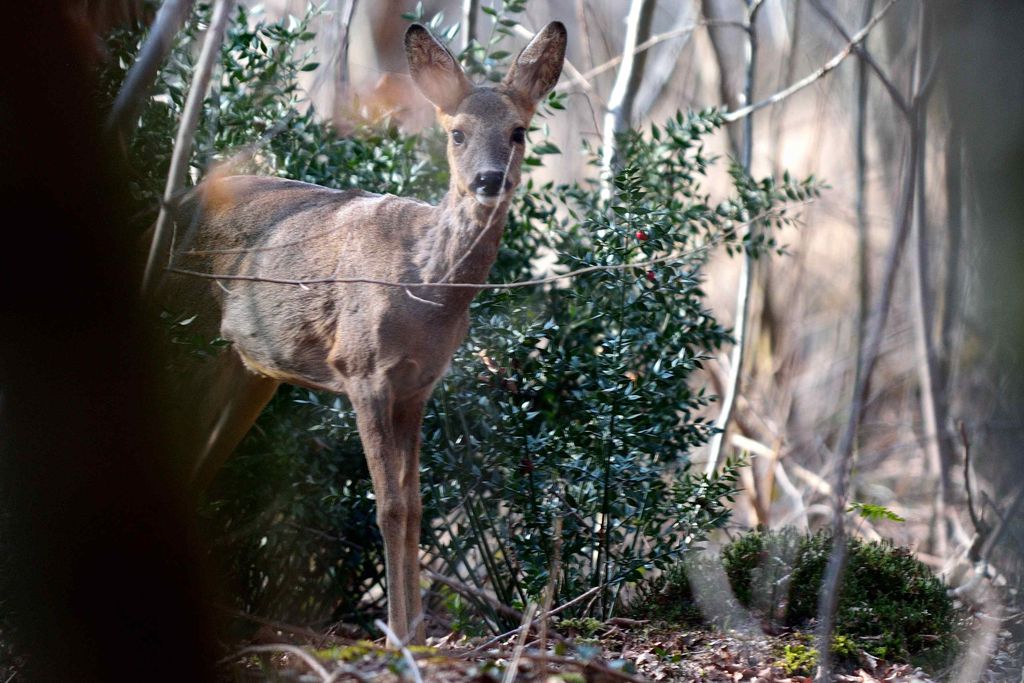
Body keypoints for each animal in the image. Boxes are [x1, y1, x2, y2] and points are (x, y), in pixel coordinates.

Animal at [155, 20, 565, 643]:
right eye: (457, 133)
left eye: (518, 131)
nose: (489, 180)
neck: (425, 287)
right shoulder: (361, 368)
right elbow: (388, 504)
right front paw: (397, 632)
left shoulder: (418, 386)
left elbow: (415, 504)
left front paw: (417, 630)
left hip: (246, 371)